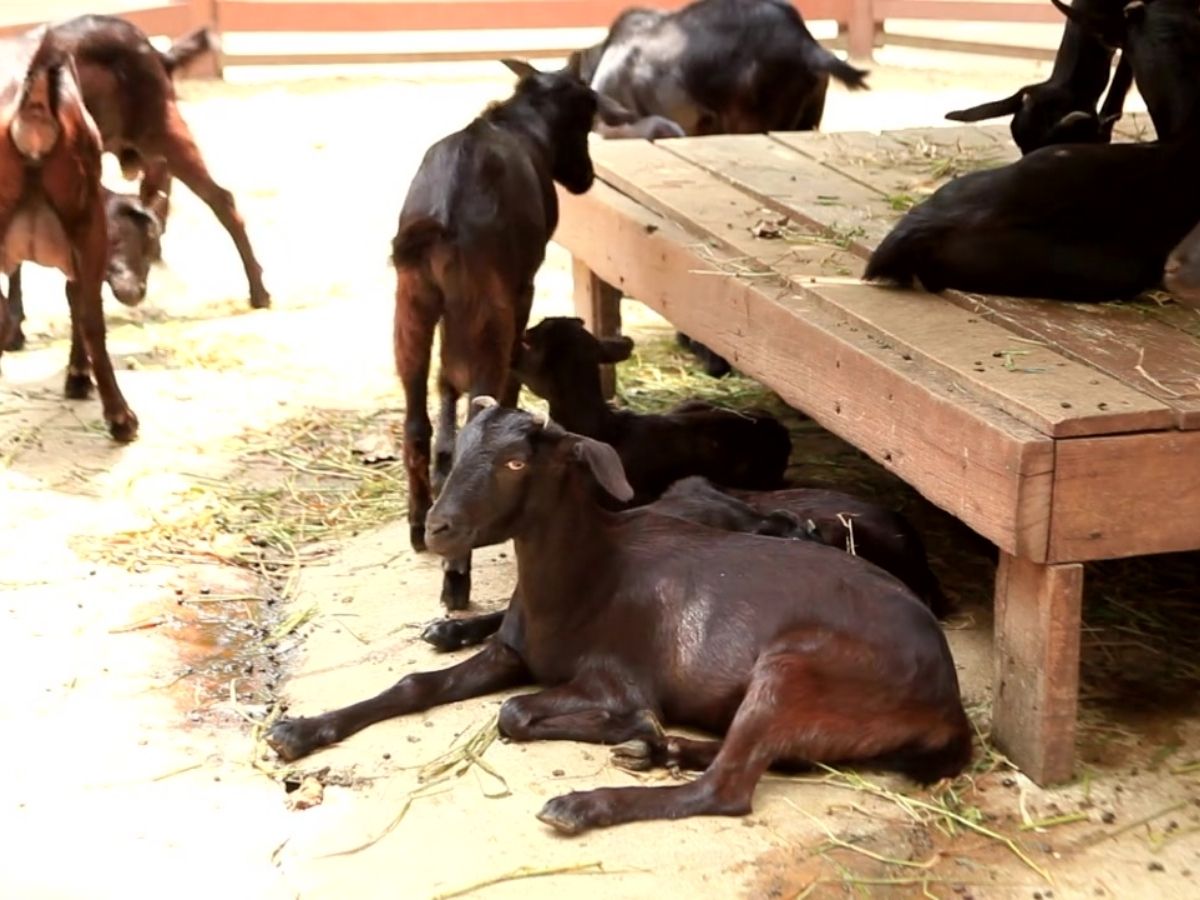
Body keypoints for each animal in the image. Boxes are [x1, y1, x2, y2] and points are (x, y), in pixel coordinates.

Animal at [265, 405, 974, 835]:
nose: (437, 528)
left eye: (517, 462)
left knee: (727, 789)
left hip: (795, 669)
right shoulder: (513, 652)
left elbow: (515, 713)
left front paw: (630, 724)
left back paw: (588, 800)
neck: (588, 578)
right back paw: (656, 750)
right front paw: (298, 731)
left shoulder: (617, 677)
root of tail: (949, 706)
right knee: (780, 758)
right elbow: (417, 684)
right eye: (460, 447)